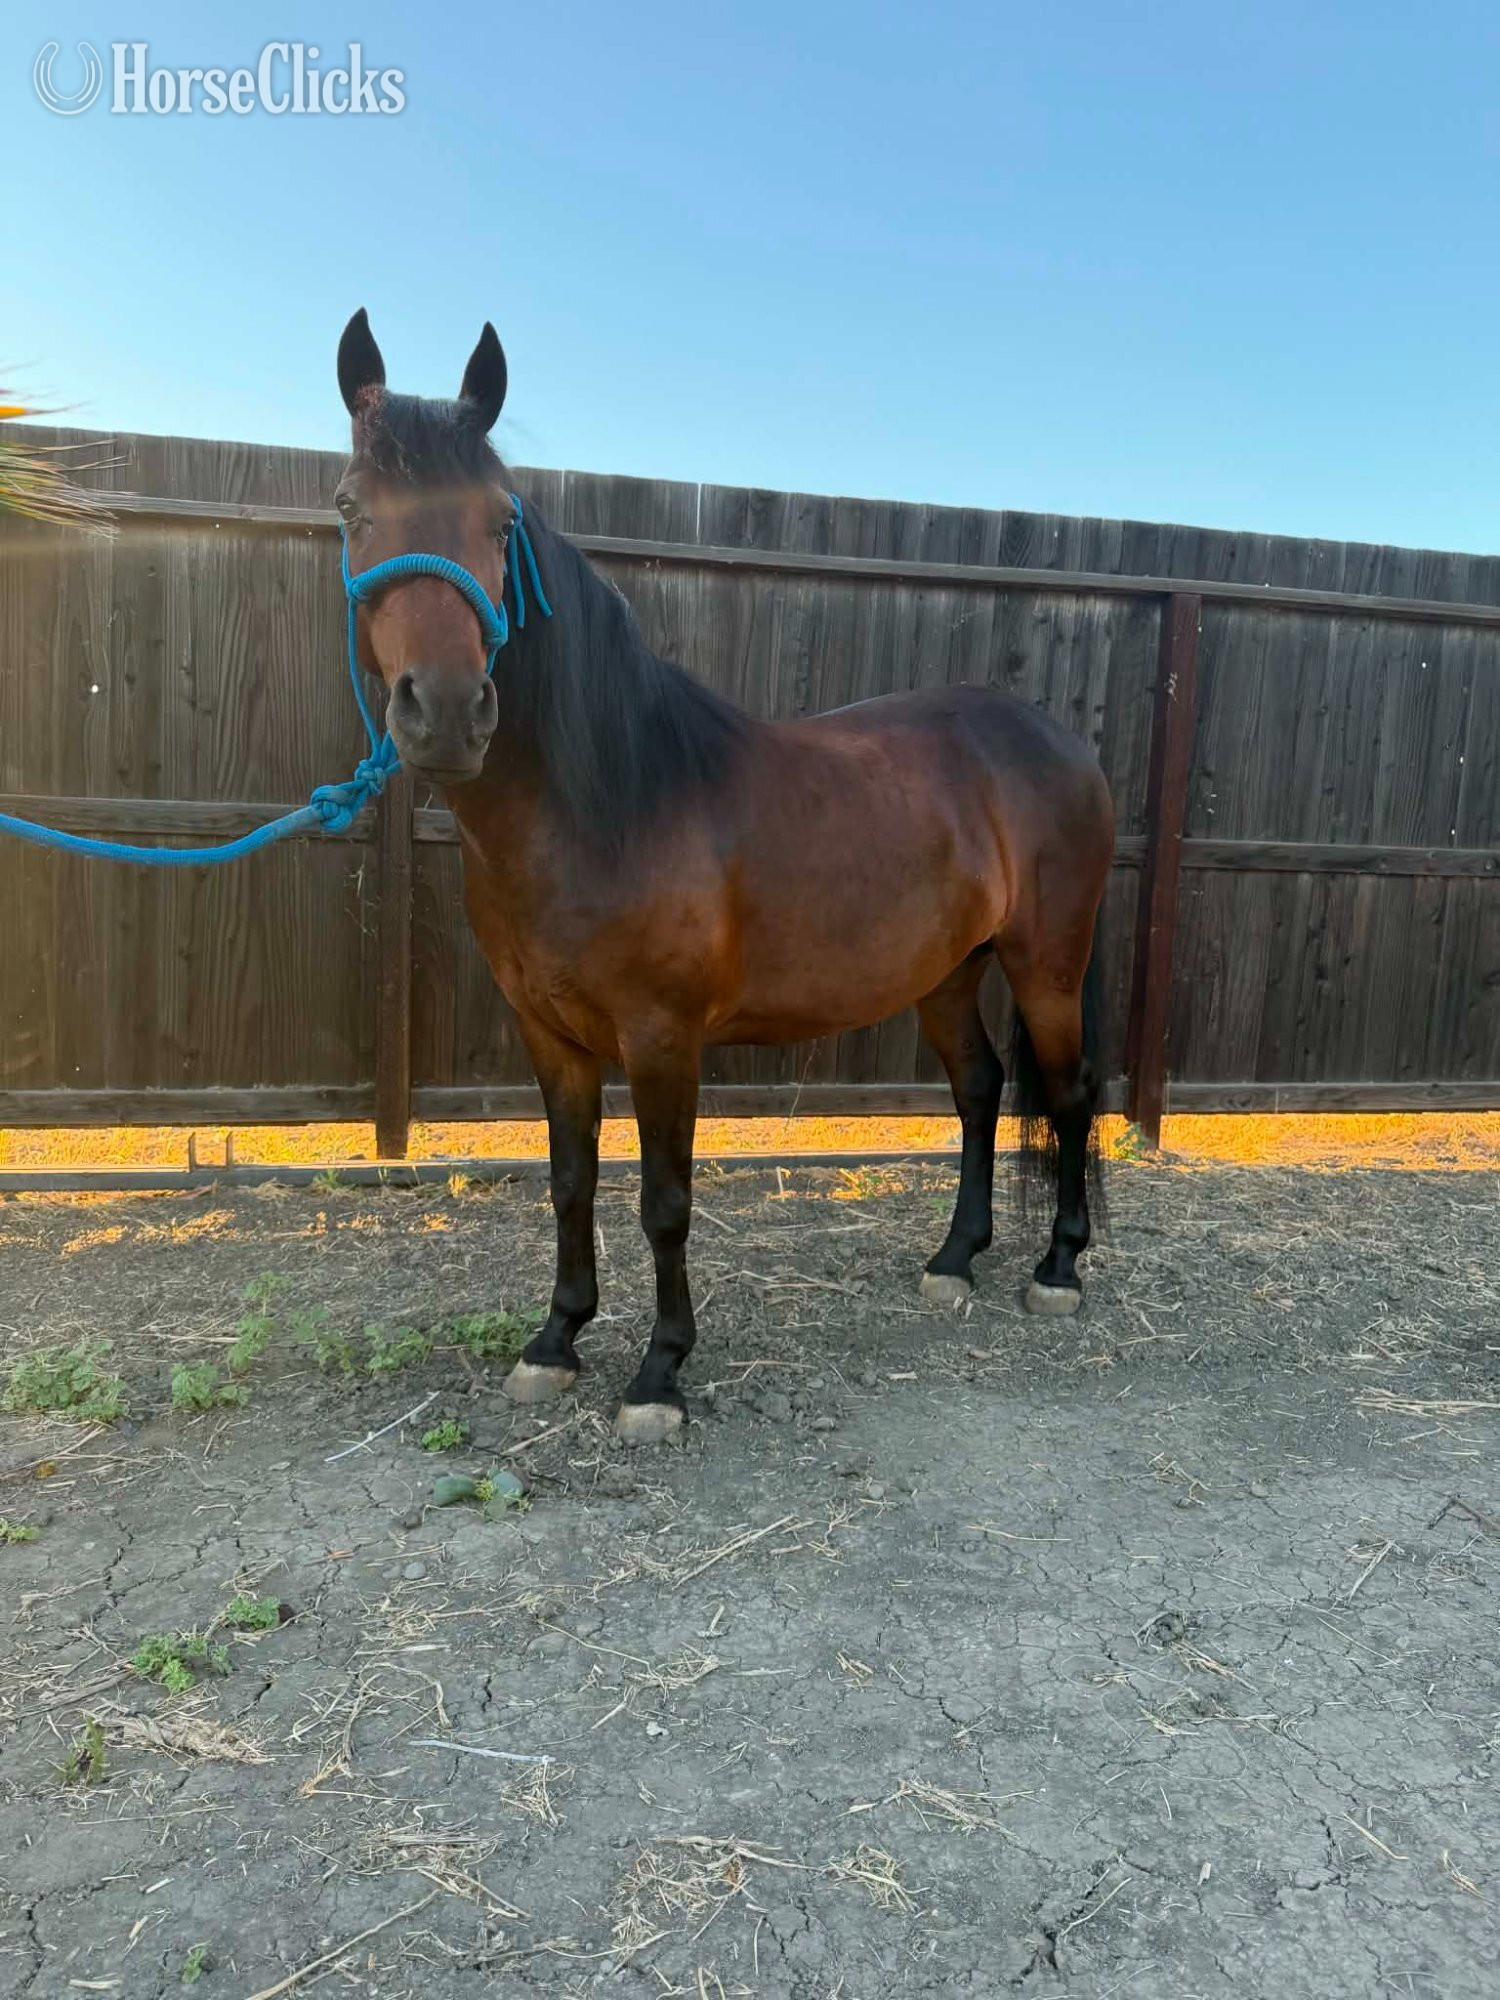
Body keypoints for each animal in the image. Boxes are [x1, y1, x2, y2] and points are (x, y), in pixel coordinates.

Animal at [334, 310, 1115, 1444]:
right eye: (350, 507)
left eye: (499, 517)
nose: (442, 710)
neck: (608, 798)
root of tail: (1060, 742)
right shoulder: (550, 1035)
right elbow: (570, 1183)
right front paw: (555, 1340)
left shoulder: (663, 1038)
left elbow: (664, 1199)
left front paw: (660, 1372)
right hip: (947, 970)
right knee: (979, 1088)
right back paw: (953, 1259)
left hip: (1046, 962)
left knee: (1068, 1092)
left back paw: (1057, 1268)